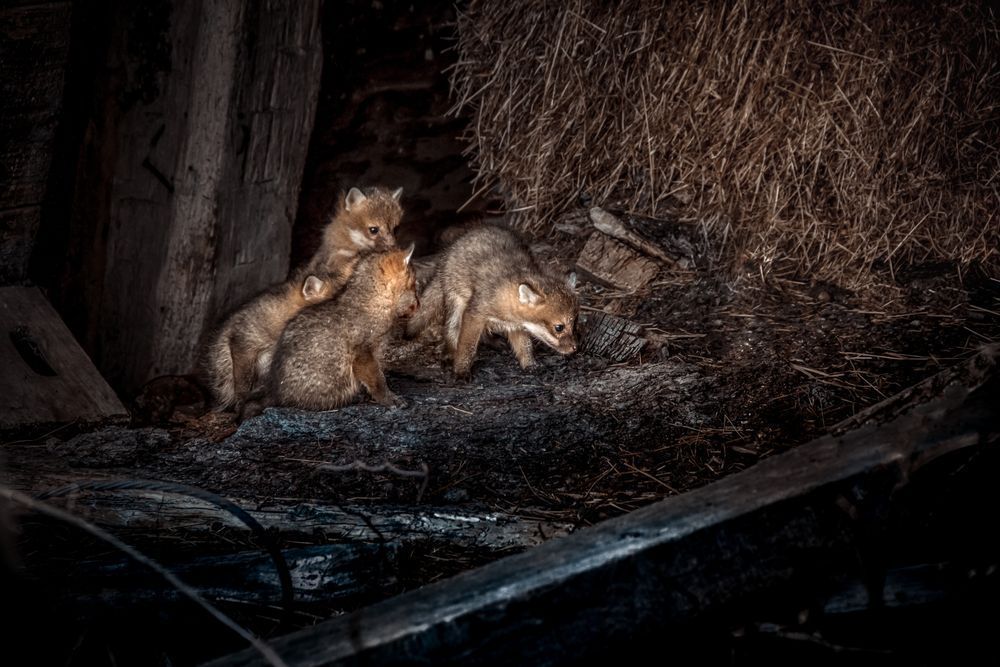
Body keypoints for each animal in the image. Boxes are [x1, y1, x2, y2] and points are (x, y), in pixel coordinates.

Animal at [267, 246, 419, 410]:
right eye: (415, 286)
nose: (419, 305)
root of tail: (276, 394)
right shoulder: (363, 354)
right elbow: (378, 380)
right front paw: (389, 399)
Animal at [405, 224, 579, 377]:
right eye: (559, 327)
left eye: (574, 324)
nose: (574, 348)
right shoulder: (474, 314)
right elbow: (466, 348)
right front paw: (461, 371)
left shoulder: (515, 326)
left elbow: (525, 347)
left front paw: (530, 365)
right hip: (457, 304)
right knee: (450, 330)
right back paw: (449, 353)